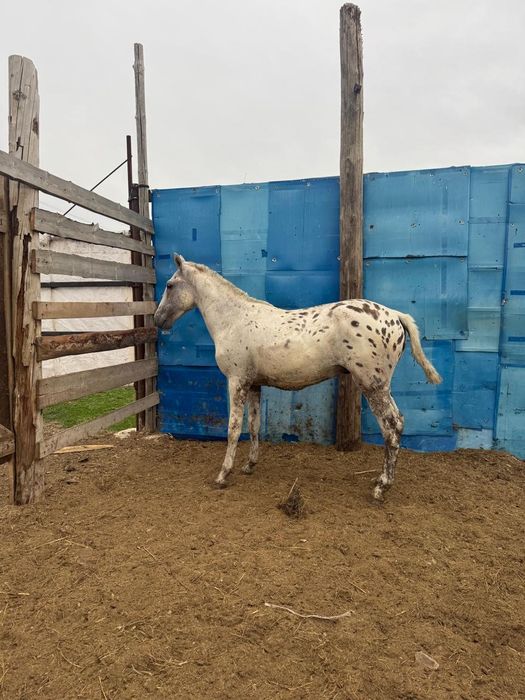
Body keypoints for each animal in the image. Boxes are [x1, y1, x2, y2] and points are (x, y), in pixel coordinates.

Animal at [154, 255, 442, 500]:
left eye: (169, 285)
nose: (158, 319)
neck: (233, 319)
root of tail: (395, 315)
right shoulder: (254, 384)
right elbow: (254, 426)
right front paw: (249, 465)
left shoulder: (236, 381)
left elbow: (233, 429)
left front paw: (223, 475)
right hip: (380, 387)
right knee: (398, 424)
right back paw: (380, 480)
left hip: (373, 386)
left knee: (391, 428)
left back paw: (382, 487)